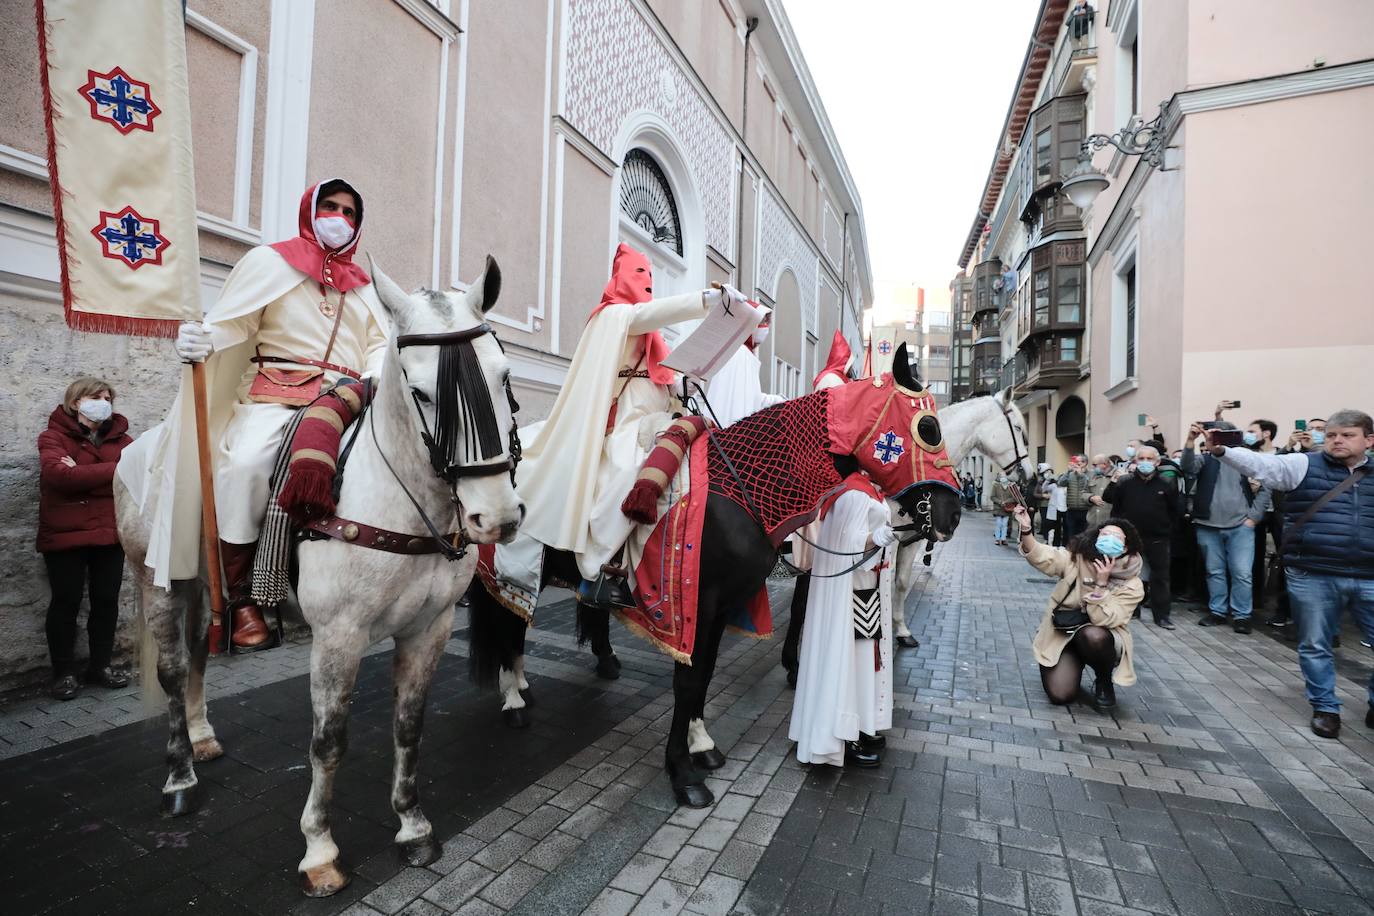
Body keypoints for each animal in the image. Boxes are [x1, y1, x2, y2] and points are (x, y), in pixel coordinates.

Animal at [115, 256, 522, 895]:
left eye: (504, 377)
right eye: (422, 392)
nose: (496, 517)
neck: (398, 501)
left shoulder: (429, 629)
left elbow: (410, 727)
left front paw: (412, 827)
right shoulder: (338, 636)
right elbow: (328, 743)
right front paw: (320, 851)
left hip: (206, 584)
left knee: (201, 651)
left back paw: (203, 739)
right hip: (160, 579)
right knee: (175, 670)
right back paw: (180, 778)